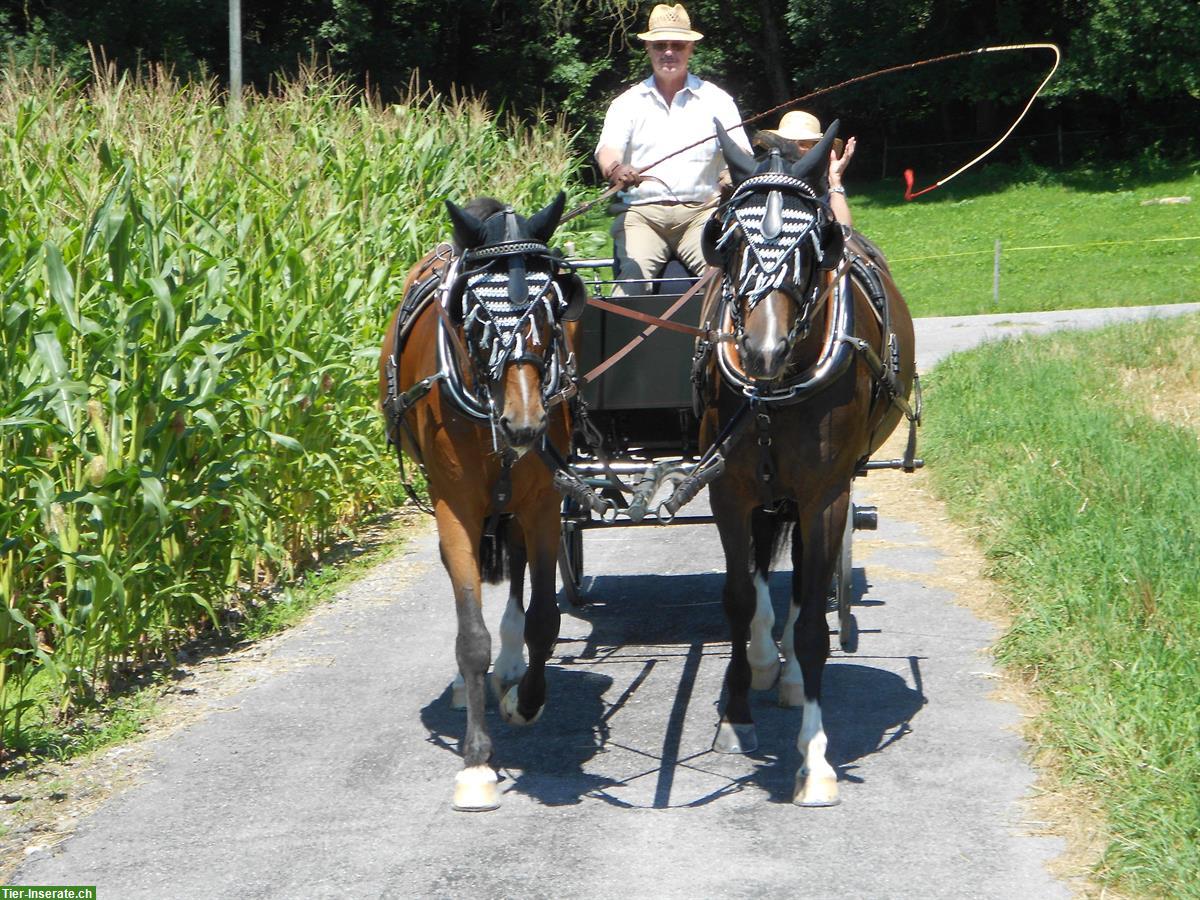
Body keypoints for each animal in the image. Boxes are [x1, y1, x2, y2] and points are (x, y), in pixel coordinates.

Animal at [374, 194, 580, 816]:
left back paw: (510, 667)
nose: (524, 425)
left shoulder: (542, 501)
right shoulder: (455, 507)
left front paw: (524, 701)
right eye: (479, 317)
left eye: (552, 308)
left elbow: (544, 618)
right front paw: (477, 763)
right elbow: (471, 638)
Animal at [696, 121, 916, 811]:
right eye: (729, 240)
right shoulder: (729, 488)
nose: (762, 350)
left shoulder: (825, 496)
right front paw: (738, 709)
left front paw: (814, 760)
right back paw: (768, 661)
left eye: (814, 243)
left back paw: (789, 669)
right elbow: (738, 596)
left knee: (804, 585)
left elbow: (817, 618)